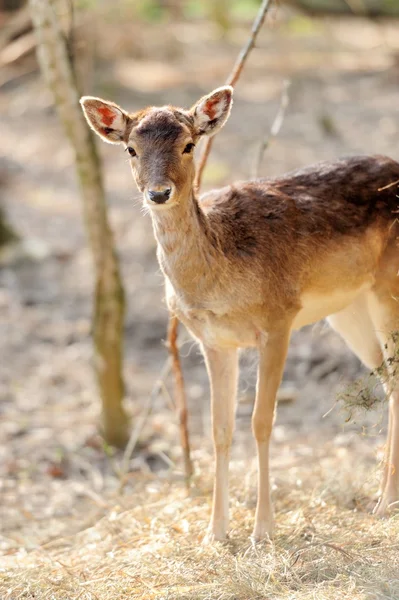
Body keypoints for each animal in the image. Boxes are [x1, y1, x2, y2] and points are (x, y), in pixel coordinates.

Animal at [79, 85, 398, 544]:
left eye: (189, 144)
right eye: (130, 148)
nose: (158, 193)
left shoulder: (280, 319)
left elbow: (261, 421)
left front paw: (262, 530)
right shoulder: (213, 341)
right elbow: (219, 428)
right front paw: (215, 531)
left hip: (386, 289)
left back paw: (386, 502)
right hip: (348, 309)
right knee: (389, 380)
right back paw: (381, 497)